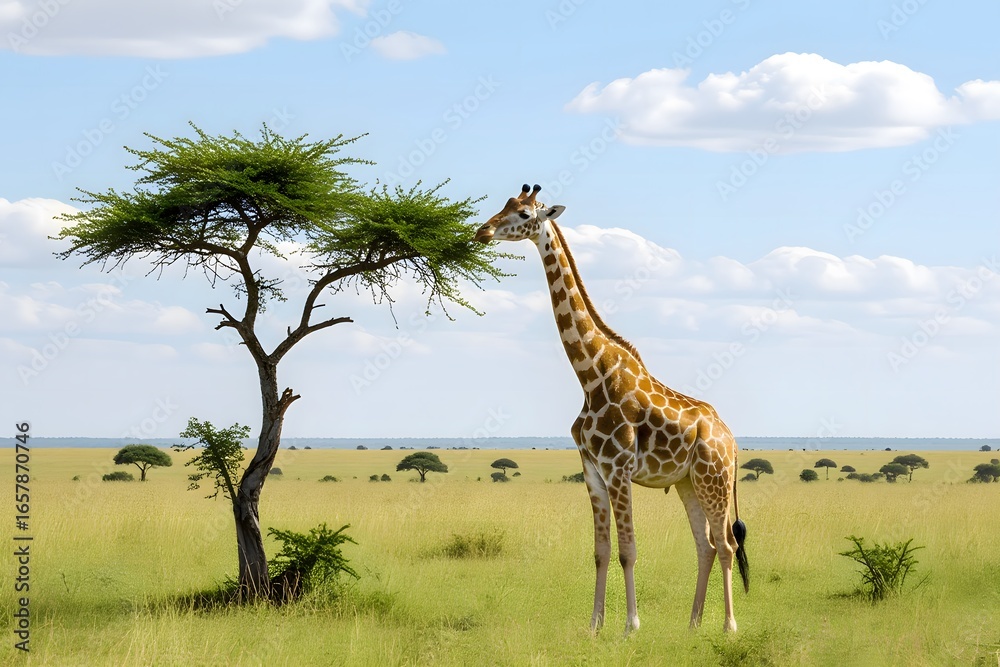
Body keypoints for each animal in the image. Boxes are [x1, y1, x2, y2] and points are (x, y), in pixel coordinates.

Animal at [474, 184, 749, 635]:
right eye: (503, 205)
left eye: (524, 213)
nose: (482, 231)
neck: (591, 375)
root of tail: (732, 439)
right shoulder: (592, 469)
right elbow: (601, 551)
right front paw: (594, 626)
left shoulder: (619, 468)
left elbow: (627, 550)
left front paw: (631, 626)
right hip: (689, 482)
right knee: (705, 545)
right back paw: (692, 624)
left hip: (716, 479)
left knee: (725, 544)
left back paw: (728, 627)